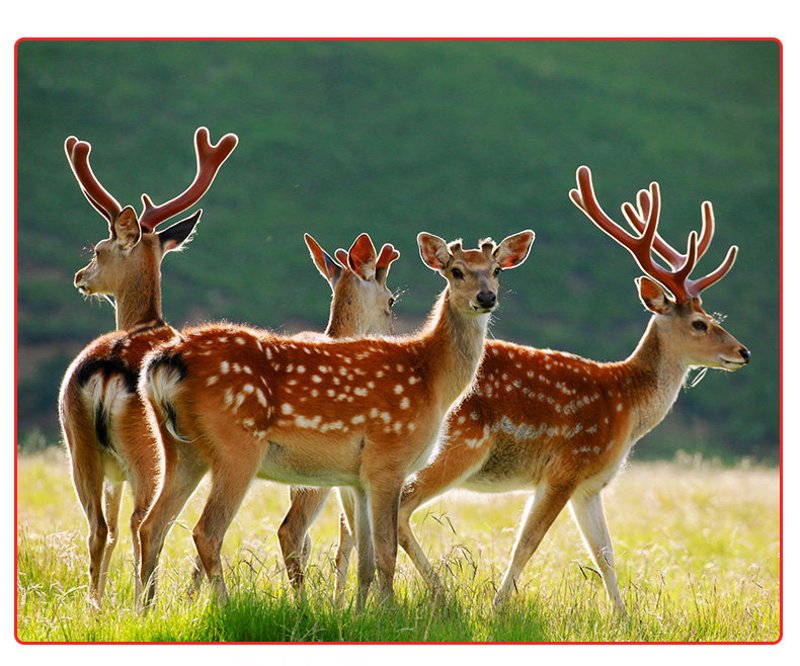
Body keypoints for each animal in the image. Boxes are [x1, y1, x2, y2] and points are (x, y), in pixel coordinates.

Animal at [57, 127, 237, 607]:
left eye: (98, 250)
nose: (80, 276)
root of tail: (106, 371)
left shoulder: (112, 474)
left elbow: (111, 529)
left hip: (80, 447)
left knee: (101, 528)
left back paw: (97, 606)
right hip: (148, 451)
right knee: (143, 522)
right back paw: (145, 602)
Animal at [137, 230, 535, 609]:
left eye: (497, 271)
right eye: (456, 271)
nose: (486, 297)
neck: (430, 379)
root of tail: (163, 362)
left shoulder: (358, 478)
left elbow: (366, 558)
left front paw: (361, 615)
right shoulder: (389, 458)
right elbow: (386, 552)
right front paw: (390, 614)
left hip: (179, 448)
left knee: (151, 526)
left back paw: (146, 611)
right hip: (236, 446)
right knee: (207, 531)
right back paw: (224, 606)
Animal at [395, 166, 750, 616]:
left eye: (714, 317)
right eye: (700, 324)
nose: (743, 352)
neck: (627, 406)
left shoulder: (591, 485)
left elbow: (605, 552)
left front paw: (623, 617)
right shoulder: (566, 465)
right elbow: (527, 543)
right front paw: (496, 608)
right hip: (458, 447)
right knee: (397, 507)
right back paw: (441, 594)